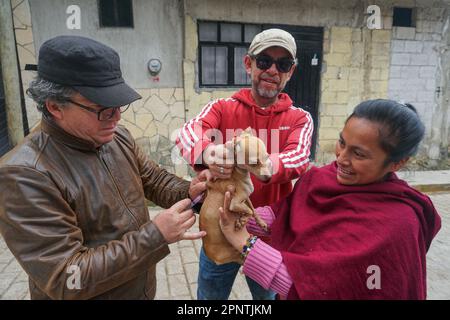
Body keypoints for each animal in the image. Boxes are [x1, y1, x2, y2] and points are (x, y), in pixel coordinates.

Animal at [201, 128, 270, 264]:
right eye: (254, 163)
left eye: (267, 157)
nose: (269, 178)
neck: (238, 174)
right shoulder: (235, 203)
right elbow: (249, 211)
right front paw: (241, 221)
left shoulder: (246, 198)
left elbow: (253, 210)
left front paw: (261, 222)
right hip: (231, 252)